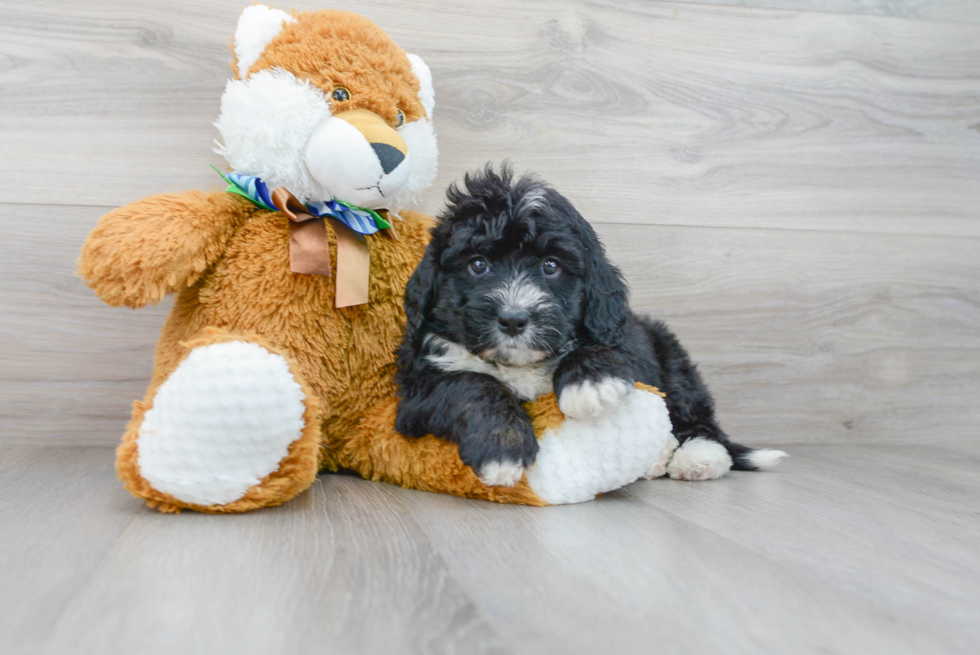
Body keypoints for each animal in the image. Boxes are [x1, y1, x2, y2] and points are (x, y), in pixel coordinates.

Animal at [394, 167, 784, 490]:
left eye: (551, 266)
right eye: (478, 265)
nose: (514, 319)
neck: (521, 365)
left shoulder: (623, 334)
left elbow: (602, 348)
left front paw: (591, 385)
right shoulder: (418, 387)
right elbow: (471, 385)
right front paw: (503, 447)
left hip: (673, 359)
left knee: (697, 419)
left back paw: (698, 457)